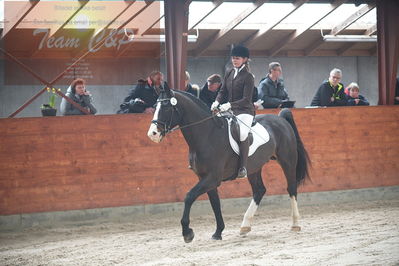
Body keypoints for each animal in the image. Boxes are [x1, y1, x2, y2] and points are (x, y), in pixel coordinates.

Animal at [148, 87, 312, 243]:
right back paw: (245, 226)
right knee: (259, 190)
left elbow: (189, 196)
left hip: (287, 161)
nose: (152, 134)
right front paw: (218, 232)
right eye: (155, 106)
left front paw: (187, 233)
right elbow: (215, 204)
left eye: (167, 107)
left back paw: (295, 224)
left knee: (291, 188)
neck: (207, 135)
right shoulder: (206, 178)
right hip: (254, 168)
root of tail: (280, 119)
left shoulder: (212, 178)